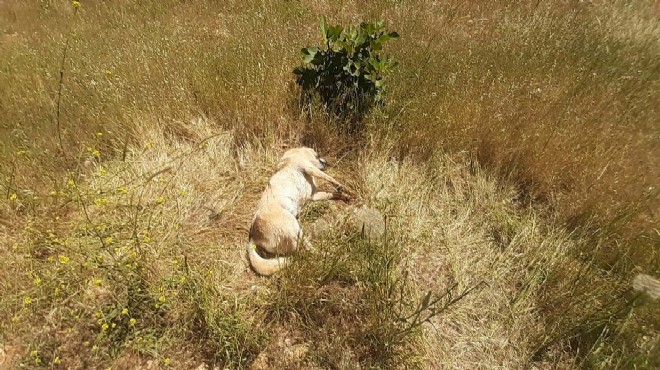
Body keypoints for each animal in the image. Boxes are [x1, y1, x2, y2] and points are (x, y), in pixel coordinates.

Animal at [248, 146, 350, 276]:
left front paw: (343, 195)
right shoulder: (309, 168)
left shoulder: (314, 196)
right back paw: (327, 254)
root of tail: (254, 238)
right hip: (293, 226)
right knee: (306, 250)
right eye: (317, 155)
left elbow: (329, 194)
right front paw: (339, 185)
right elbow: (328, 177)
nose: (327, 162)